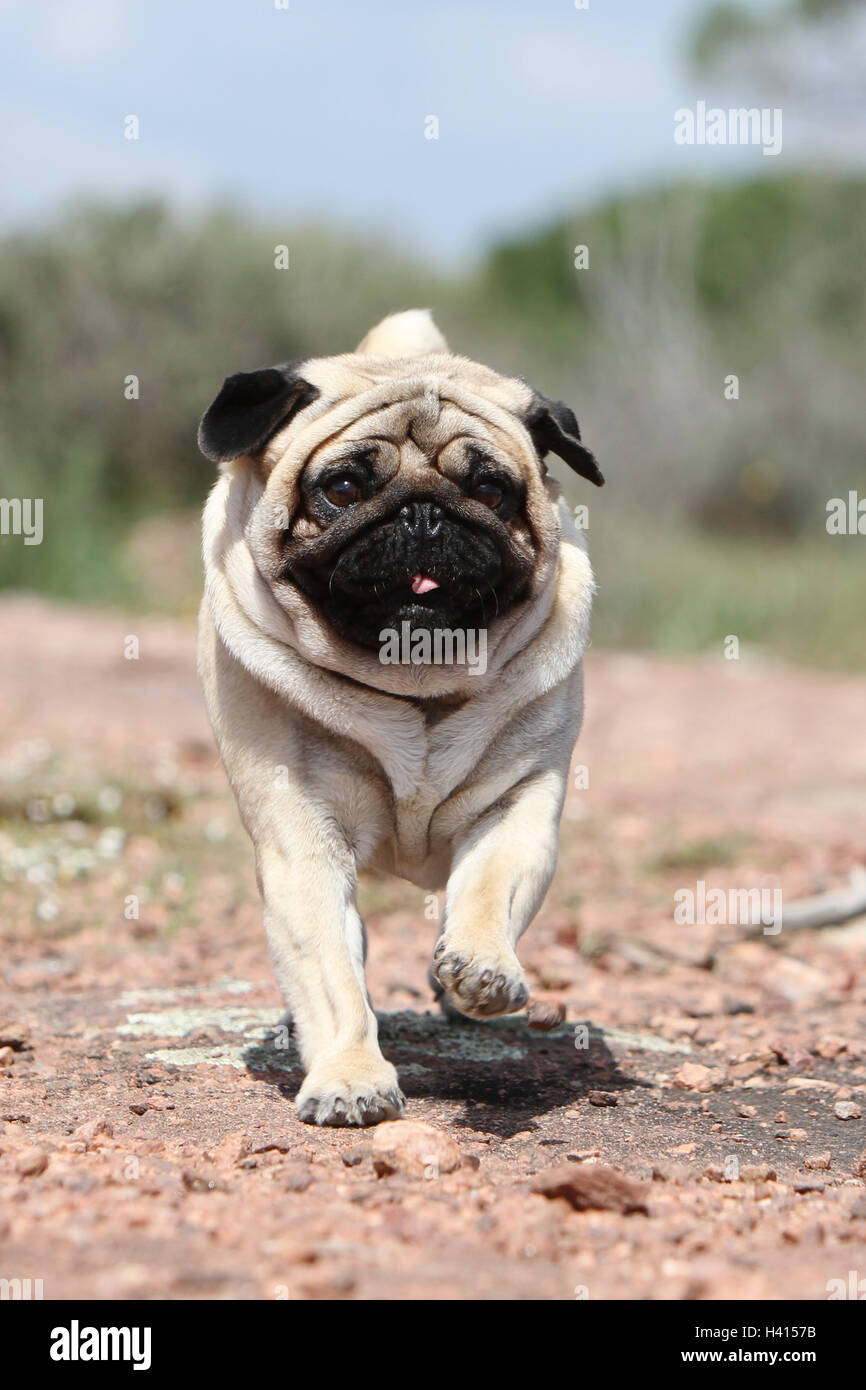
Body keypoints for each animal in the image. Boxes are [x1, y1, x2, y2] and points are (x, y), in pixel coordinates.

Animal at [198, 309, 603, 1123]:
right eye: (344, 486)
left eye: (492, 489)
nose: (424, 512)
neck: (414, 683)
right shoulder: (301, 846)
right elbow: (332, 975)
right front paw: (351, 1074)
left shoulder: (517, 812)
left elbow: (489, 890)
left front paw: (482, 967)